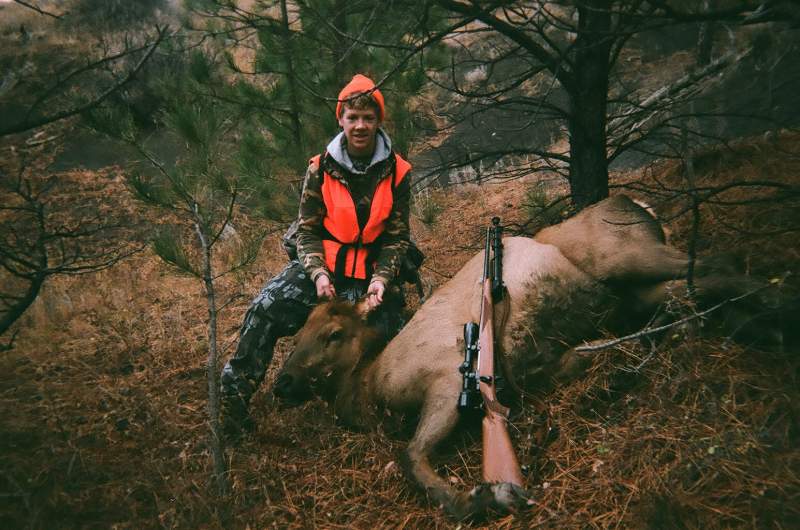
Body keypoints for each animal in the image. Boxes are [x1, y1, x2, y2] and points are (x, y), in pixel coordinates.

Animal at [272, 193, 784, 516]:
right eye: (297, 333)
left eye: (333, 333)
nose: (282, 382)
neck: (371, 387)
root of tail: (637, 204)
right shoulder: (535, 367)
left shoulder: (447, 381)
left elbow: (411, 457)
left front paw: (485, 496)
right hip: (632, 291)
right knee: (695, 291)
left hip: (629, 256)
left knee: (719, 263)